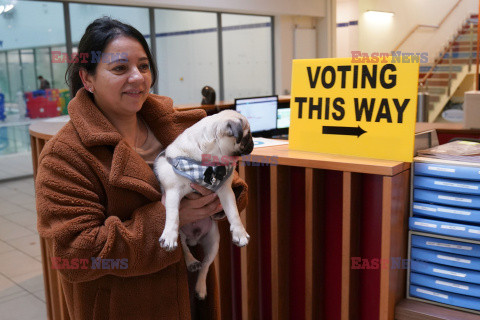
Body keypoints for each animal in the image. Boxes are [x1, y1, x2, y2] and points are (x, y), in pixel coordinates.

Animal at [155, 109, 255, 298]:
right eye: (246, 137)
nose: (252, 144)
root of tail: (194, 239)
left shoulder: (225, 191)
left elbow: (233, 214)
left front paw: (239, 233)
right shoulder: (172, 192)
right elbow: (173, 216)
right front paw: (168, 236)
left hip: (213, 241)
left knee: (206, 265)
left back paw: (201, 288)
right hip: (184, 236)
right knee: (185, 248)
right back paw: (191, 261)